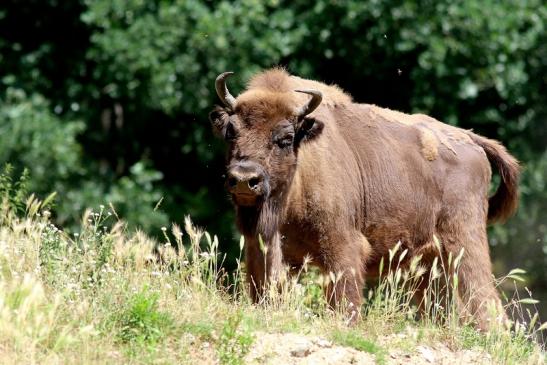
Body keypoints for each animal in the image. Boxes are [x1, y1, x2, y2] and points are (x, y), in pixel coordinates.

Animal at [209, 69, 520, 330]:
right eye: (231, 132)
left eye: (285, 138)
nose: (244, 179)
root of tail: (470, 138)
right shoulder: (263, 248)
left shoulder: (342, 246)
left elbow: (345, 298)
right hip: (428, 266)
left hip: (464, 244)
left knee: (486, 301)